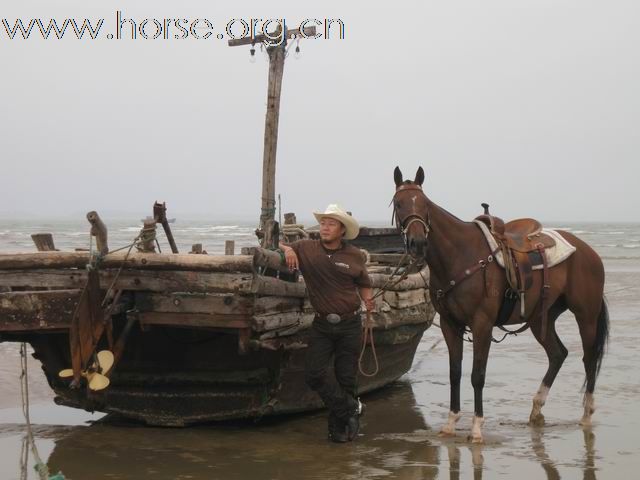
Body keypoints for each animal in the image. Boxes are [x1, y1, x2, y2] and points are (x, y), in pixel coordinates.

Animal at [392, 166, 608, 442]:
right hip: (541, 318)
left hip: (586, 315)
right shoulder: (450, 325)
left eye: (425, 204)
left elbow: (477, 375)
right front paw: (451, 423)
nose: (418, 243)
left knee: (589, 358)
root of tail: (588, 251)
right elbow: (455, 372)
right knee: (558, 354)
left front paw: (476, 427)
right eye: (398, 203)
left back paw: (586, 414)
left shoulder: (482, 324)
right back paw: (536, 409)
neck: (461, 255)